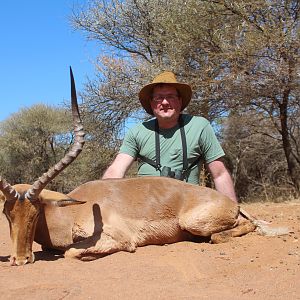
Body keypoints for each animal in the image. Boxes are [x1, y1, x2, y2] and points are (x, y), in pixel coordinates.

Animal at [0, 69, 276, 266]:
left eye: (36, 212)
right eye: (7, 213)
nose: (20, 260)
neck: (72, 211)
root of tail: (232, 203)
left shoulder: (119, 238)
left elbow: (71, 253)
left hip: (196, 222)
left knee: (233, 231)